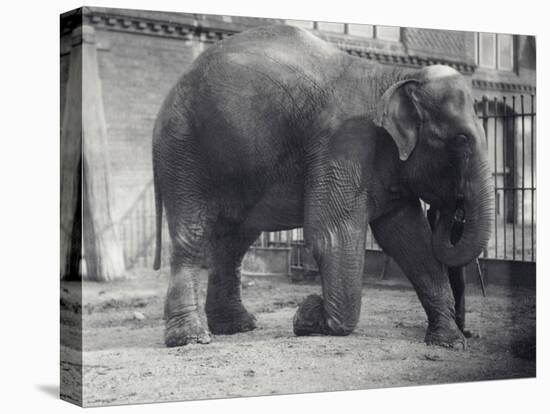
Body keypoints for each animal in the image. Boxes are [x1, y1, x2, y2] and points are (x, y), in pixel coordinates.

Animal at [152, 24, 496, 350]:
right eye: (461, 139)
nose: (454, 207)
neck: (393, 77)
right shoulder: (343, 142)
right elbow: (332, 235)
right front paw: (307, 313)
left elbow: (411, 240)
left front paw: (451, 342)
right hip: (183, 151)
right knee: (193, 233)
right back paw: (192, 338)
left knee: (234, 241)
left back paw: (237, 326)